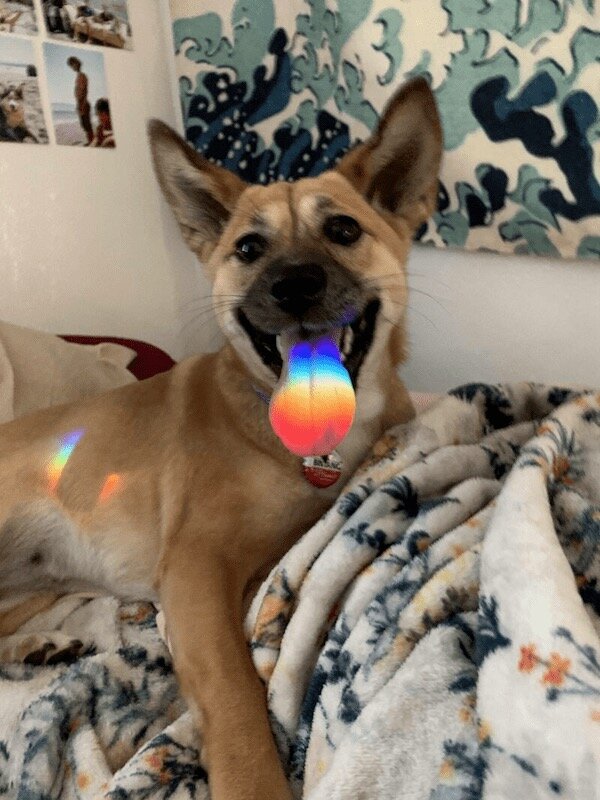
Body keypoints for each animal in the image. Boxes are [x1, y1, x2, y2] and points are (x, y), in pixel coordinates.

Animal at [0, 77, 442, 799]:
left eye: (343, 229)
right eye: (248, 249)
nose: (294, 285)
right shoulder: (196, 569)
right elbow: (235, 693)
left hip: (32, 586)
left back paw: (37, 647)